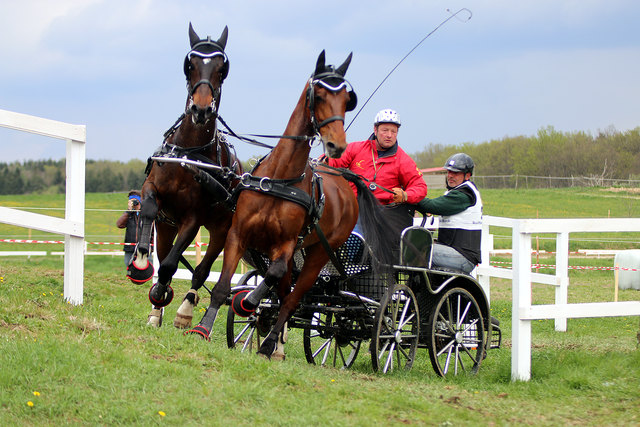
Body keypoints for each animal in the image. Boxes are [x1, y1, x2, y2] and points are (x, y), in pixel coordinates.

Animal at [129, 23, 241, 330]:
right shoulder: (152, 191)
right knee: (167, 251)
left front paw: (162, 292)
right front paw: (140, 262)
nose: (200, 109)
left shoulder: (193, 219)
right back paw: (156, 312)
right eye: (190, 65)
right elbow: (148, 211)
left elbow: (171, 265)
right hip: (167, 226)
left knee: (200, 271)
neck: (189, 153)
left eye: (221, 68)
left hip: (221, 230)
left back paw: (185, 309)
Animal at [188, 49, 392, 358]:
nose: (337, 145)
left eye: (347, 99)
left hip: (318, 254)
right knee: (285, 293)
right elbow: (223, 287)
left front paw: (247, 303)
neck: (280, 179)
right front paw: (203, 328)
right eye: (318, 94)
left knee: (293, 297)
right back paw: (274, 340)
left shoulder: (284, 245)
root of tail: (345, 181)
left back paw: (269, 342)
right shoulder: (239, 234)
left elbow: (275, 276)